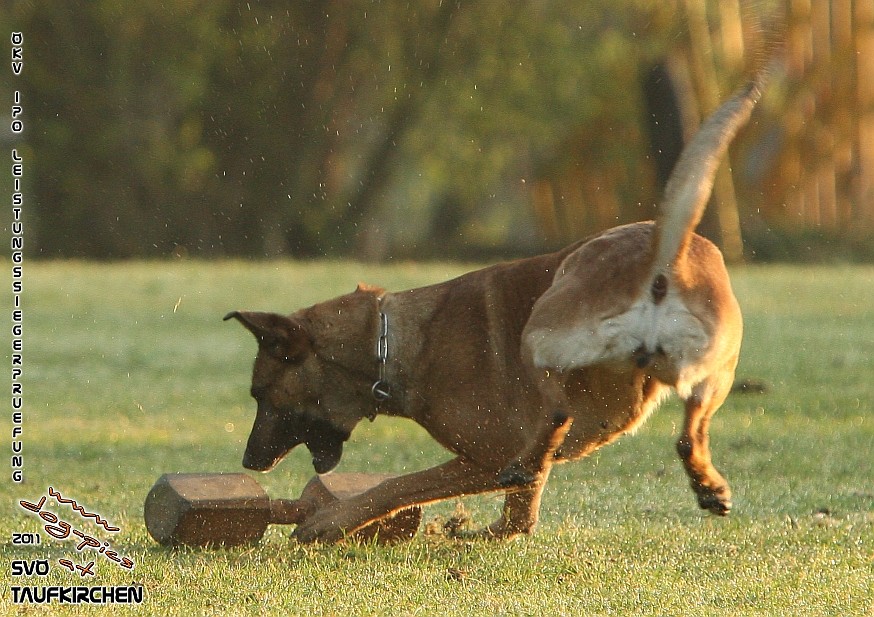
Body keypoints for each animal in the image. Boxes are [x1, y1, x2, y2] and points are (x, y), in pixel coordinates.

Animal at [228, 71, 768, 544]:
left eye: (261, 394)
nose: (249, 462)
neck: (392, 342)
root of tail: (663, 255)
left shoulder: (485, 455)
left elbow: (400, 485)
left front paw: (330, 522)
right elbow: (516, 523)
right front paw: (475, 532)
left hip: (543, 328)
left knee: (555, 413)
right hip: (716, 367)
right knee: (687, 434)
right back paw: (707, 484)